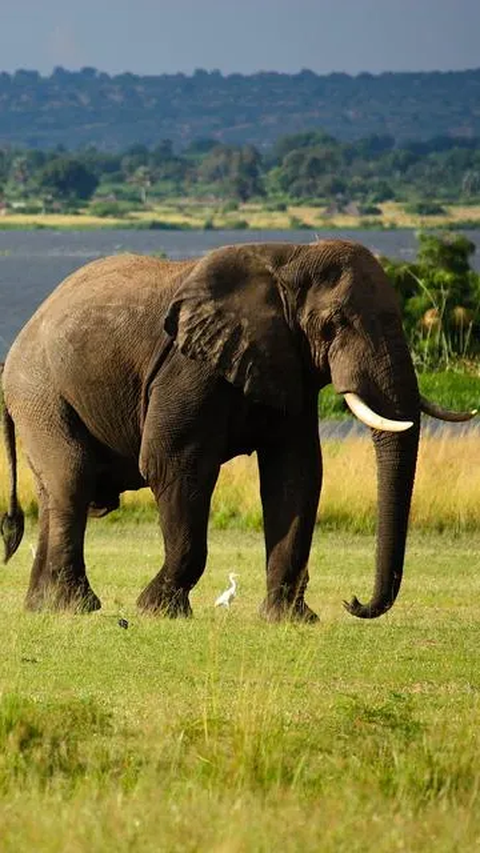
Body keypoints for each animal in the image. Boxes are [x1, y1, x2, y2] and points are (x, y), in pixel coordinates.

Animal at [0, 240, 472, 620]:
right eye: (334, 323)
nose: (354, 602)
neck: (288, 259)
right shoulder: (188, 367)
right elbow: (173, 464)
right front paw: (158, 609)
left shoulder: (287, 364)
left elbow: (296, 474)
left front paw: (290, 619)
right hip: (40, 390)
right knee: (72, 479)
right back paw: (77, 606)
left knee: (53, 491)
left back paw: (41, 606)